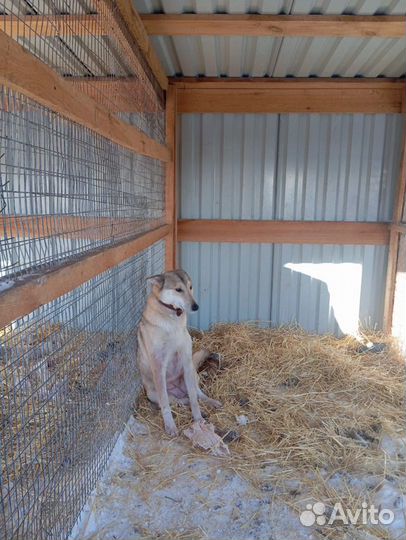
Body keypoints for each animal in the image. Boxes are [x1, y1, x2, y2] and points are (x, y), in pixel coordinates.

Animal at [137, 268, 222, 436]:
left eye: (190, 287)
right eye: (178, 289)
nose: (196, 306)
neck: (171, 319)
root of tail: (178, 391)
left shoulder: (187, 361)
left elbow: (195, 399)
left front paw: (198, 419)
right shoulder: (158, 366)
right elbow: (165, 404)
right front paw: (170, 426)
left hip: (192, 375)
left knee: (197, 394)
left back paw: (210, 402)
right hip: (153, 393)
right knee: (175, 401)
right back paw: (182, 402)